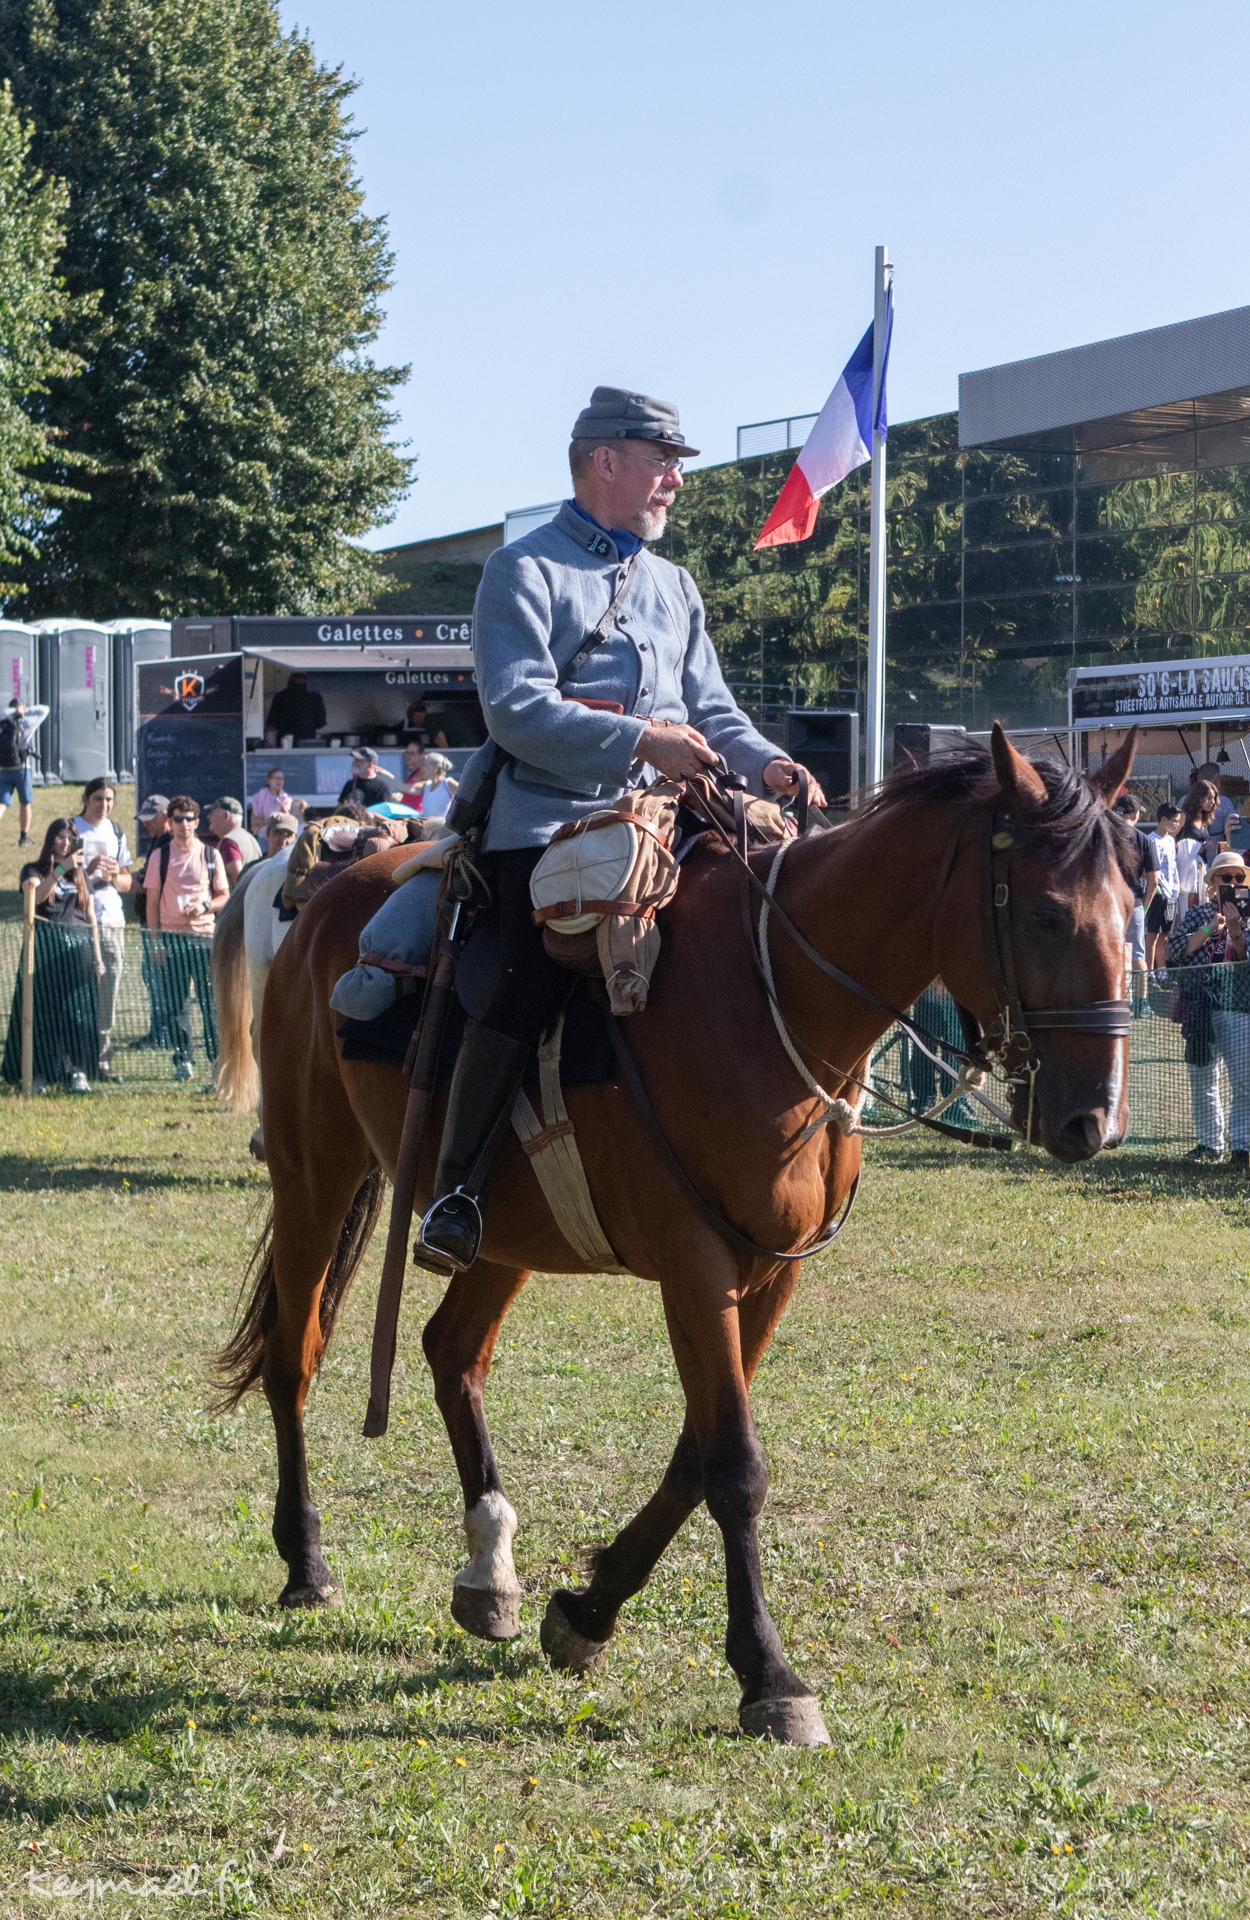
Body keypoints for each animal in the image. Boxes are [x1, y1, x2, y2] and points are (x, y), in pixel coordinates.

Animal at [215, 726, 1137, 1745]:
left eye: (1134, 908)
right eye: (1048, 915)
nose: (1093, 1123)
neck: (776, 1001)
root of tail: (325, 898)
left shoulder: (769, 1272)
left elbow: (697, 1451)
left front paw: (588, 1609)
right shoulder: (697, 1267)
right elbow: (734, 1465)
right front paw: (770, 1675)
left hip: (504, 1230)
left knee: (452, 1350)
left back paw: (489, 1572)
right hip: (316, 1175)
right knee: (295, 1355)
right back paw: (307, 1561)